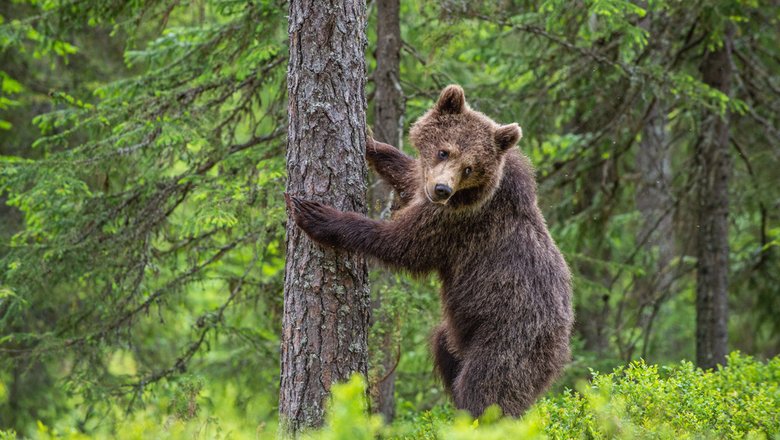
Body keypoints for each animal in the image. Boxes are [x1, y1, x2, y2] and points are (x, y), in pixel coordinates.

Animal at [286, 85, 573, 418]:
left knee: (488, 389)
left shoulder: (456, 224)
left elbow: (401, 244)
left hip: (511, 337)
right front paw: (370, 142)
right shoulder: (429, 191)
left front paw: (318, 215)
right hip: (462, 334)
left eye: (469, 168)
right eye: (444, 151)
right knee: (443, 348)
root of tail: (563, 347)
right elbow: (408, 174)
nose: (442, 189)